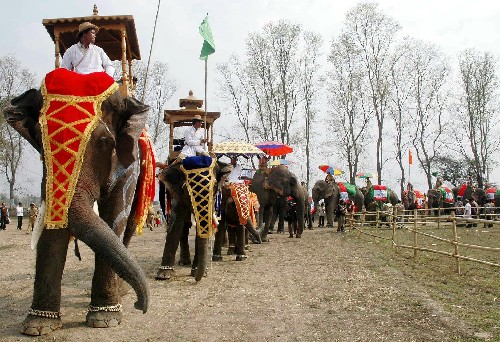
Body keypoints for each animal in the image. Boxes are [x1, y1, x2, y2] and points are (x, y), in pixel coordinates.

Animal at [2, 69, 150, 334]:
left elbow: (115, 215)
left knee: (129, 225)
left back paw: (120, 291)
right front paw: (37, 326)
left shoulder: (129, 164)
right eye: (40, 139)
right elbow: (52, 223)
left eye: (104, 142)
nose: (140, 306)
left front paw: (104, 320)